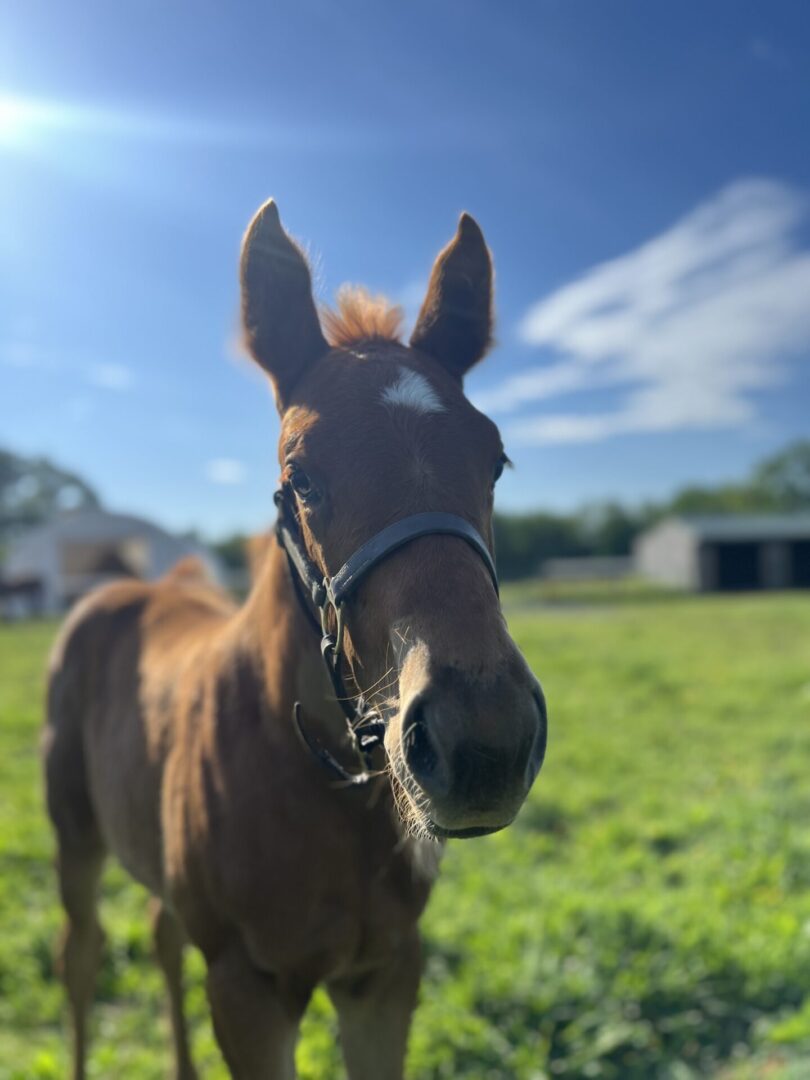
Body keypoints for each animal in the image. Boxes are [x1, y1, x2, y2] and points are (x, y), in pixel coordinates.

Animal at [45, 203, 552, 1080]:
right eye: (300, 477)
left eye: (495, 462)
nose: (484, 741)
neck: (326, 791)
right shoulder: (247, 989)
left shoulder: (387, 975)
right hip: (73, 834)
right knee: (82, 954)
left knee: (159, 934)